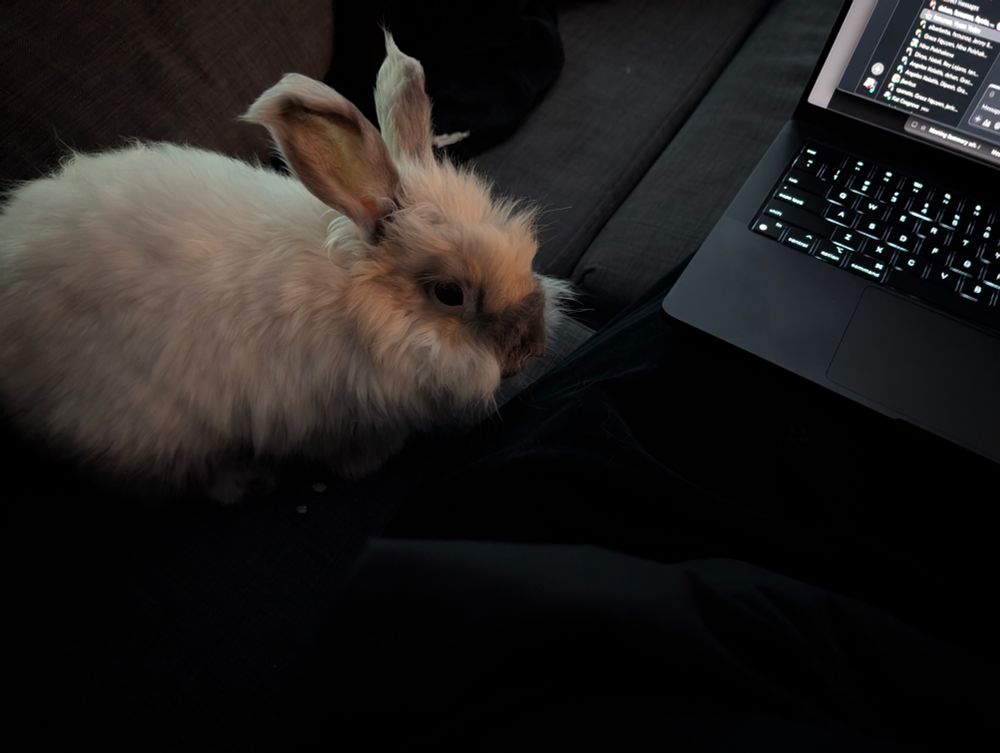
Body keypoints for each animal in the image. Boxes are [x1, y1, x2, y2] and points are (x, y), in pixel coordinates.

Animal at [0, 34, 571, 503]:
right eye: (450, 293)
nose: (530, 349)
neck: (359, 304)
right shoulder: (334, 417)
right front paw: (368, 466)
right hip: (144, 426)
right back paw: (247, 481)